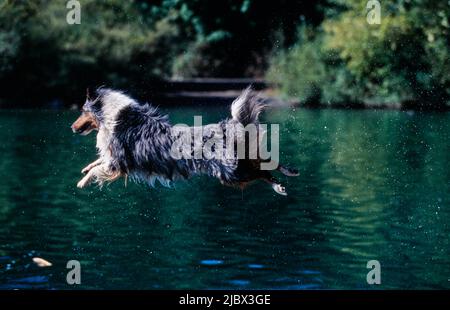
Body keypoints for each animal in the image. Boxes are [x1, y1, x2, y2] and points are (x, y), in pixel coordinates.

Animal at [71, 86, 298, 195]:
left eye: (83, 110)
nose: (72, 128)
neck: (114, 114)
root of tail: (230, 127)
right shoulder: (116, 158)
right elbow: (99, 161)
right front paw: (85, 168)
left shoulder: (119, 161)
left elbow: (98, 168)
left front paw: (82, 181)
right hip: (240, 164)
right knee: (266, 163)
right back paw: (290, 173)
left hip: (231, 173)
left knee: (262, 172)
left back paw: (280, 186)